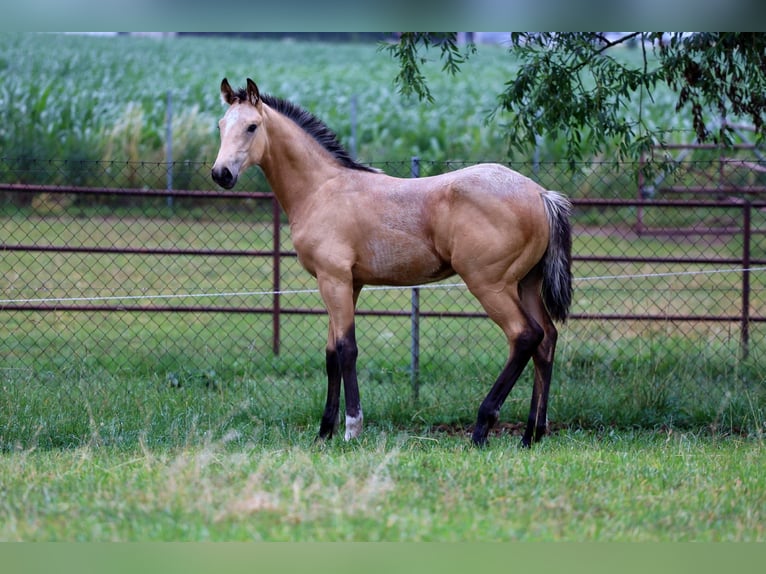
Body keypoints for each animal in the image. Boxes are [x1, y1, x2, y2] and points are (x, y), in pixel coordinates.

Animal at [211, 78, 573, 447]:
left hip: (490, 285)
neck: (322, 189)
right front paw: (324, 432)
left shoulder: (333, 279)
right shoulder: (348, 283)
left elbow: (346, 349)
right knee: (546, 339)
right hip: (526, 283)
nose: (221, 174)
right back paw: (531, 435)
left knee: (525, 335)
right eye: (222, 126)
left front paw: (351, 428)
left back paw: (482, 429)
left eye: (252, 126)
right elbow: (331, 354)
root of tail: (541, 195)